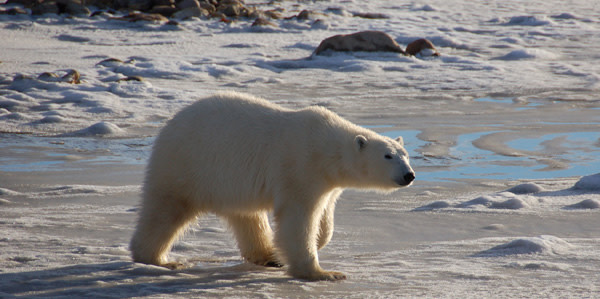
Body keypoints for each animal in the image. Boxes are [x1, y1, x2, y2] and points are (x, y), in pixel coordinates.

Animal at [129, 92, 414, 282]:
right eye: (388, 156)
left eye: (406, 154)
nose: (409, 175)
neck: (326, 148)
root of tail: (169, 125)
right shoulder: (300, 166)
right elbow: (298, 218)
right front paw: (323, 273)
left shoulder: (328, 183)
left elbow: (324, 216)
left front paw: (314, 242)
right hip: (187, 164)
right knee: (165, 210)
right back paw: (158, 259)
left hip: (229, 183)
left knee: (246, 217)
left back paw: (267, 256)